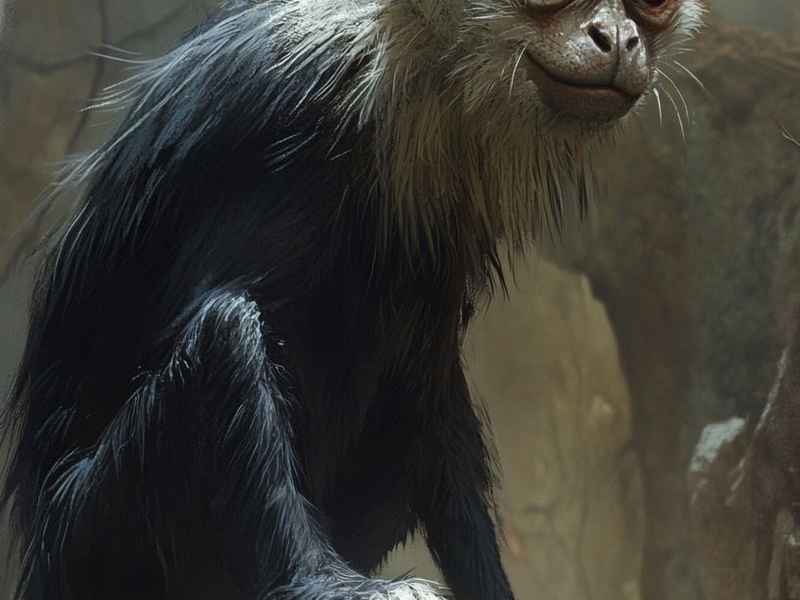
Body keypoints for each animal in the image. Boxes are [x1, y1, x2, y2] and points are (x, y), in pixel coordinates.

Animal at [1, 1, 704, 599]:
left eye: (651, 6)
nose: (619, 38)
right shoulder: (301, 116)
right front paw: (329, 586)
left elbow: (434, 400)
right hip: (96, 532)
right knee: (227, 331)